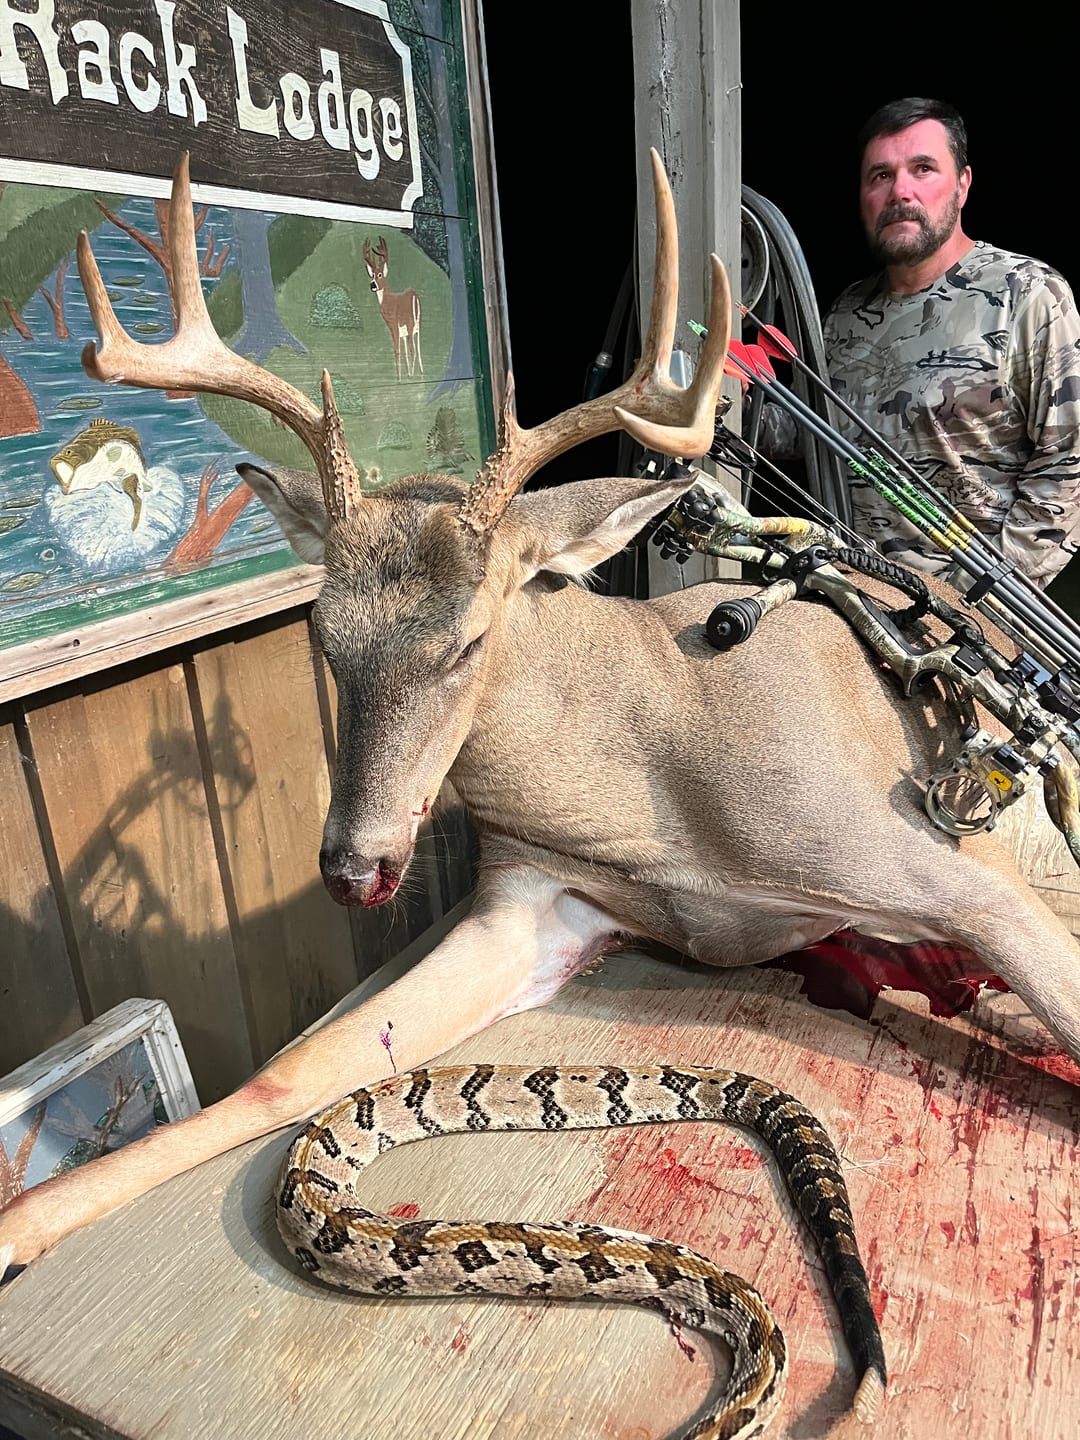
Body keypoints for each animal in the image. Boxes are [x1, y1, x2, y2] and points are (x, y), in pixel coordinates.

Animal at [363, 235, 423, 380]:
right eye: (372, 275)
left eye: (380, 275)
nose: (372, 285)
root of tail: (415, 296)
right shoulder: (402, 332)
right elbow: (404, 352)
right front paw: (406, 373)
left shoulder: (394, 325)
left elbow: (397, 350)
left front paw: (400, 378)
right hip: (418, 325)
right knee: (418, 348)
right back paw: (420, 373)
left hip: (410, 323)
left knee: (413, 349)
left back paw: (411, 377)